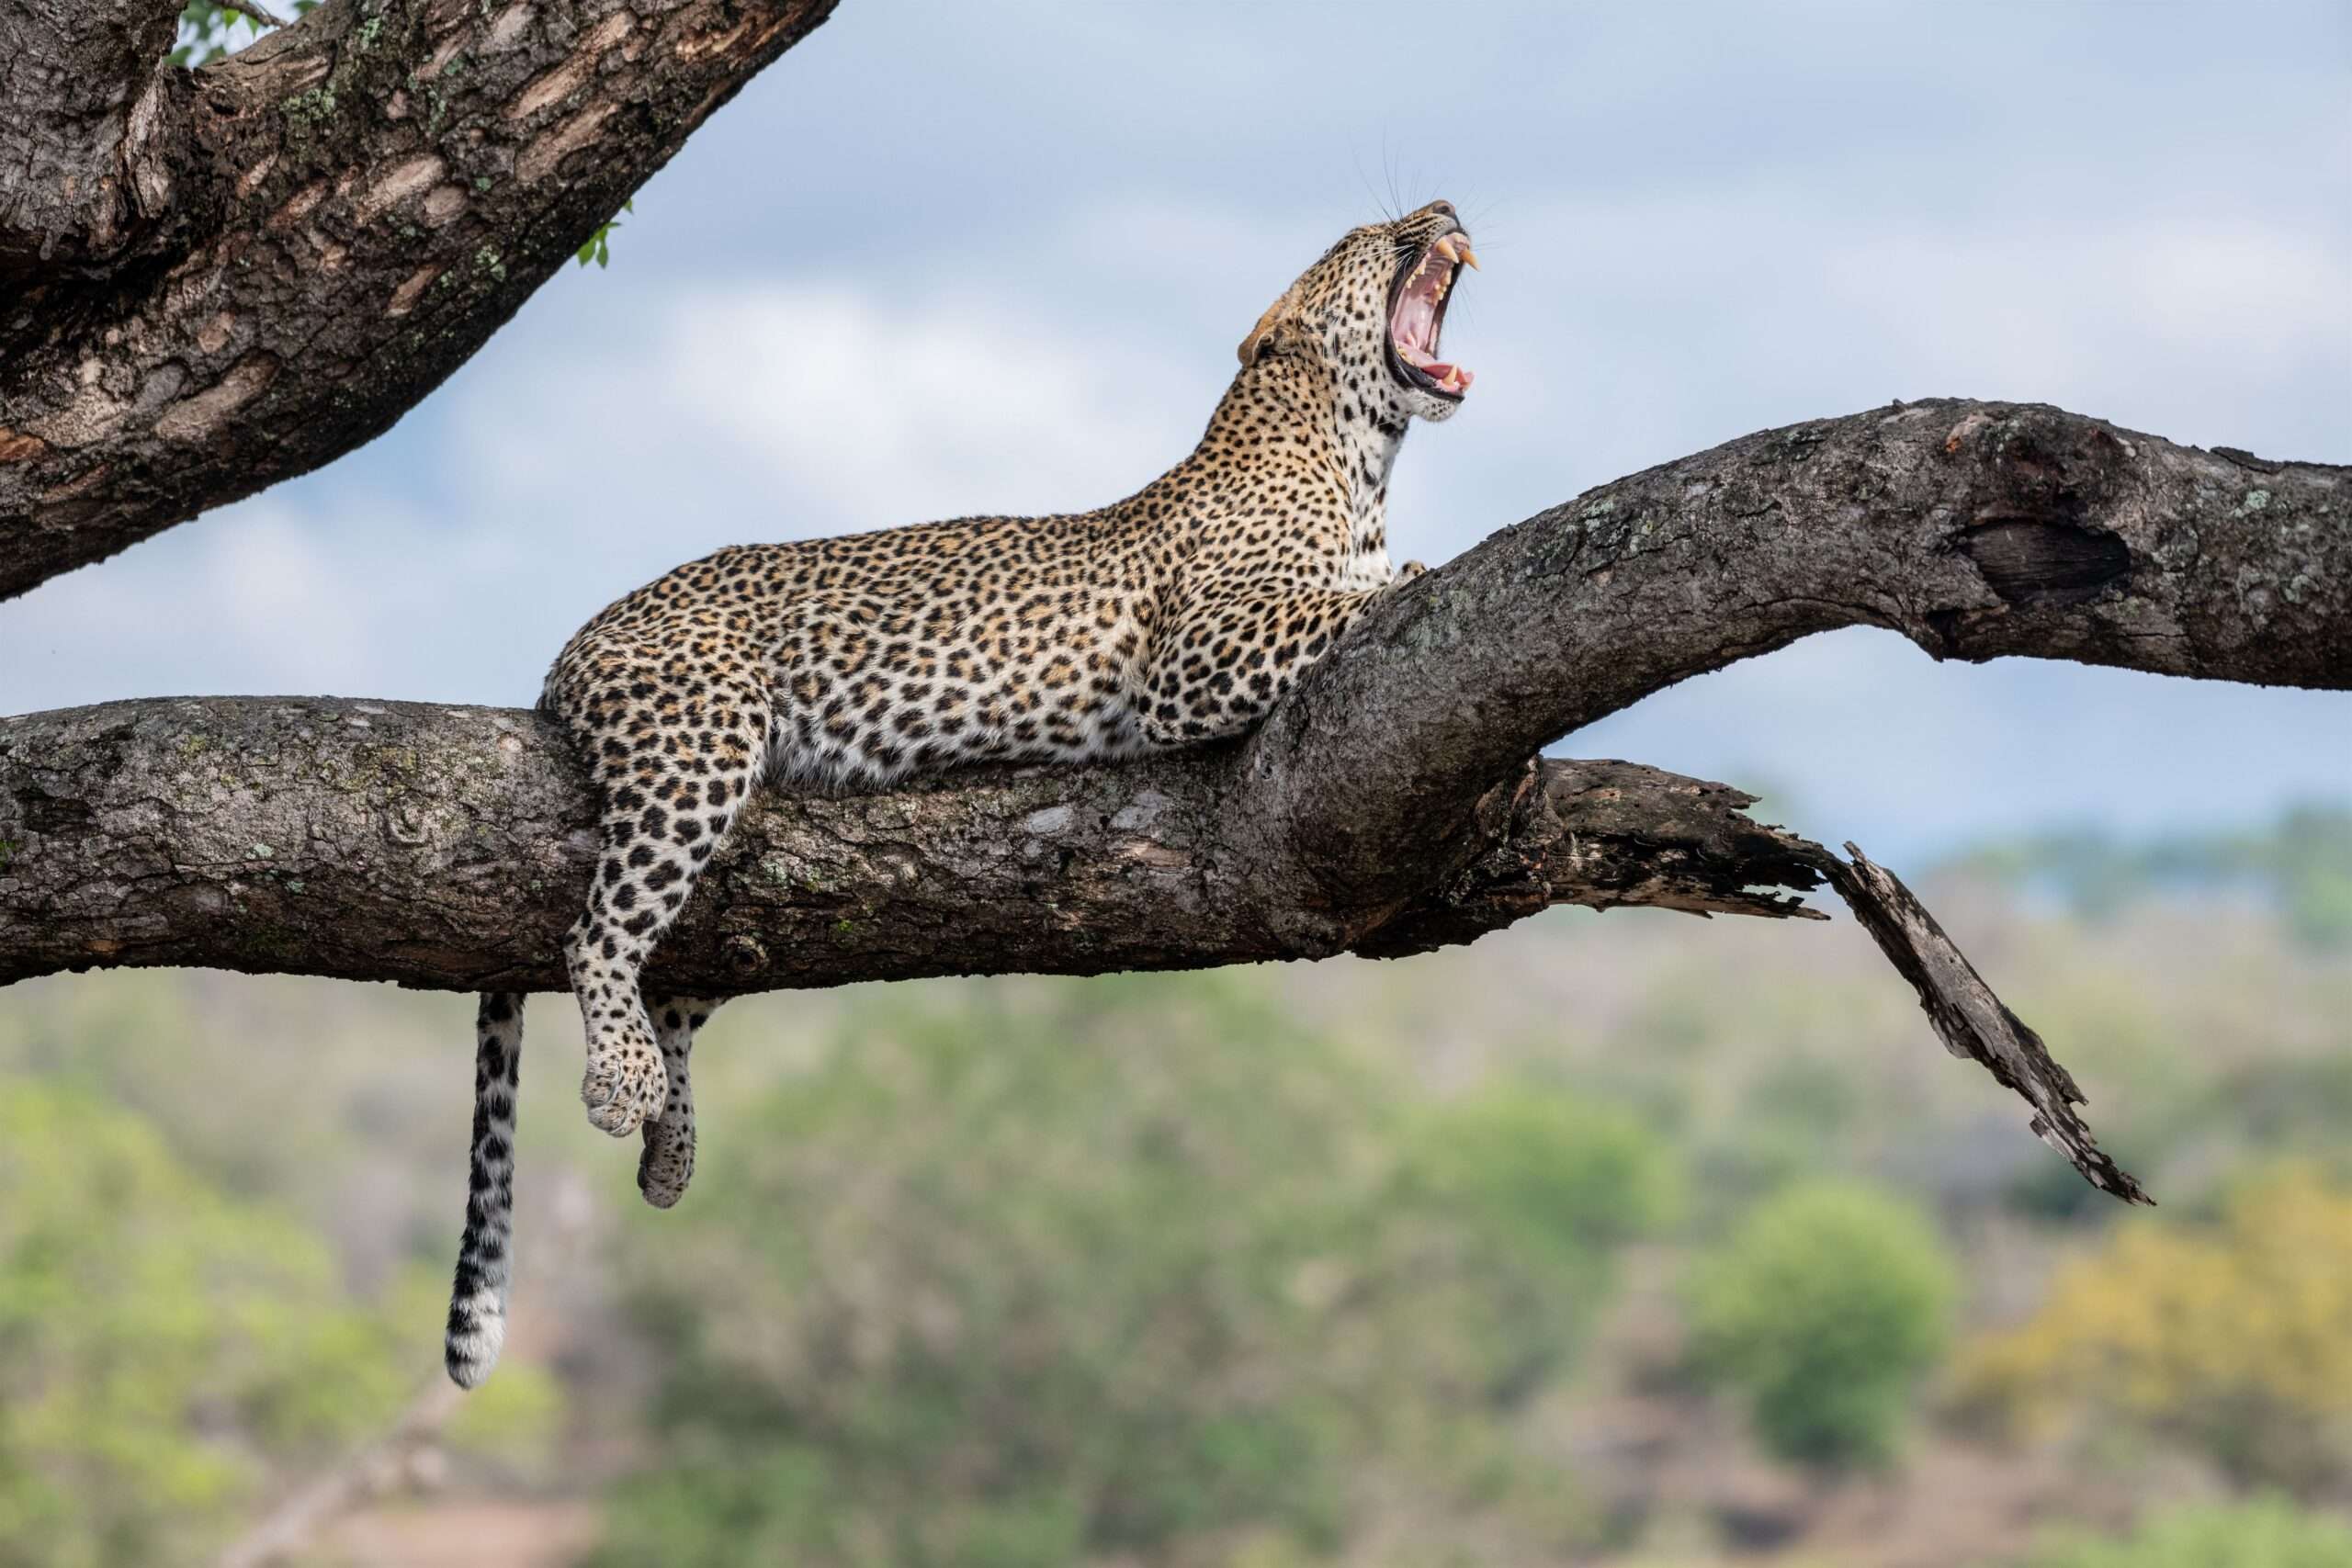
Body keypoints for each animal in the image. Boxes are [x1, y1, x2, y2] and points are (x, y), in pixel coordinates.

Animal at [444, 200, 1479, 1387]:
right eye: (1369, 231)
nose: (1444, 210)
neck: (1358, 462)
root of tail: (576, 640)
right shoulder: (1196, 658)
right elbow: (1350, 600)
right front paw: (1407, 577)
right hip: (700, 735)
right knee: (600, 932)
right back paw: (621, 1083)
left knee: (677, 984)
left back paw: (672, 1146)